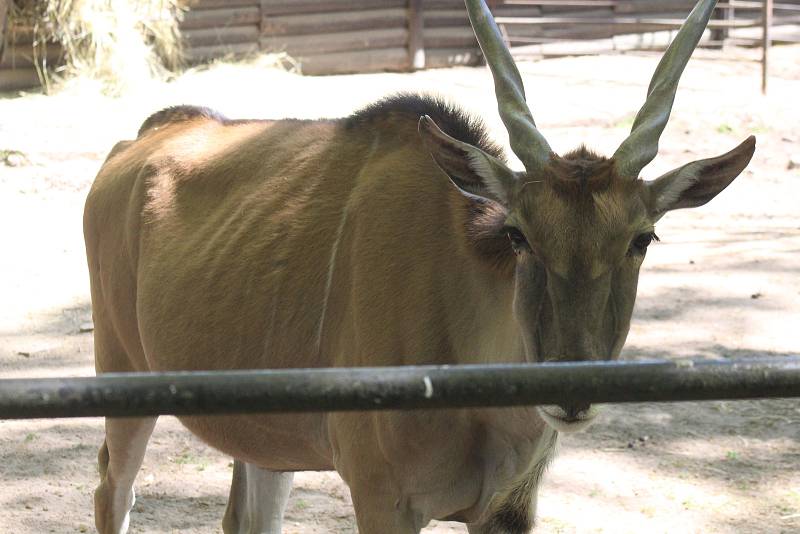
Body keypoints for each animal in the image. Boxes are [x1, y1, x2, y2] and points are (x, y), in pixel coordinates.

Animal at [84, 1, 752, 534]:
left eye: (643, 238)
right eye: (518, 234)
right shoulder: (383, 499)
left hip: (266, 437)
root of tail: (135, 142)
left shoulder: (508, 508)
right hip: (122, 376)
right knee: (112, 488)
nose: (572, 391)